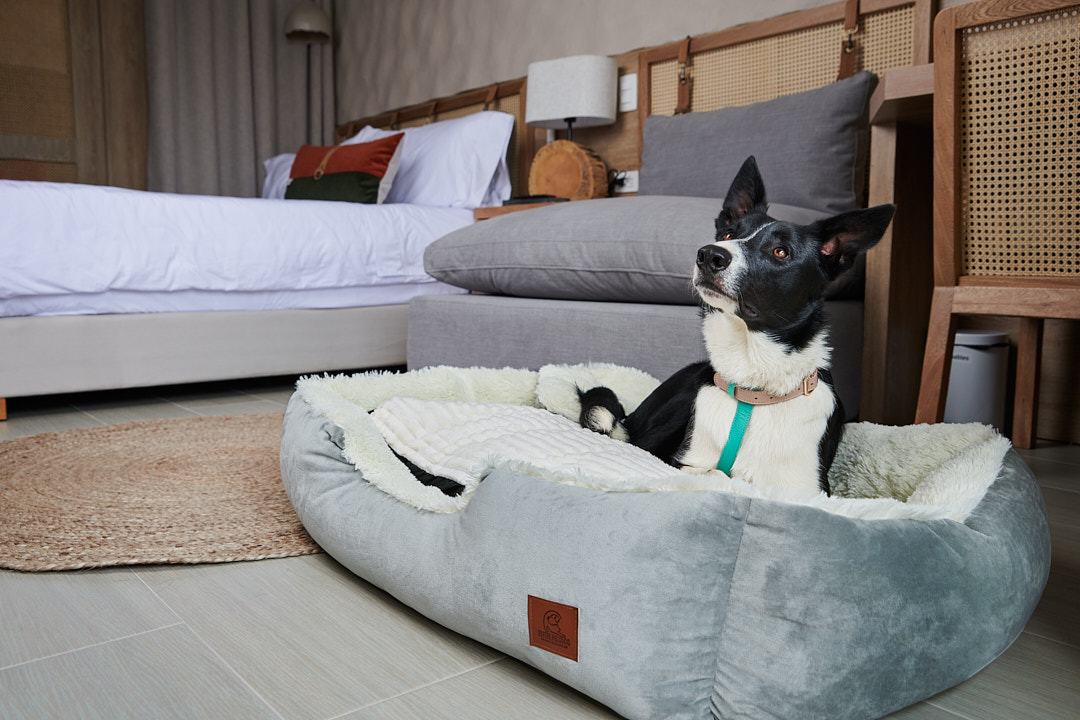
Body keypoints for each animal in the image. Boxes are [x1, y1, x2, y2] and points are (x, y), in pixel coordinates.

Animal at [583, 157, 894, 496]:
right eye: (729, 235)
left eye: (780, 252)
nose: (709, 254)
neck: (753, 390)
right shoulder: (679, 461)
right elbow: (718, 475)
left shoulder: (809, 489)